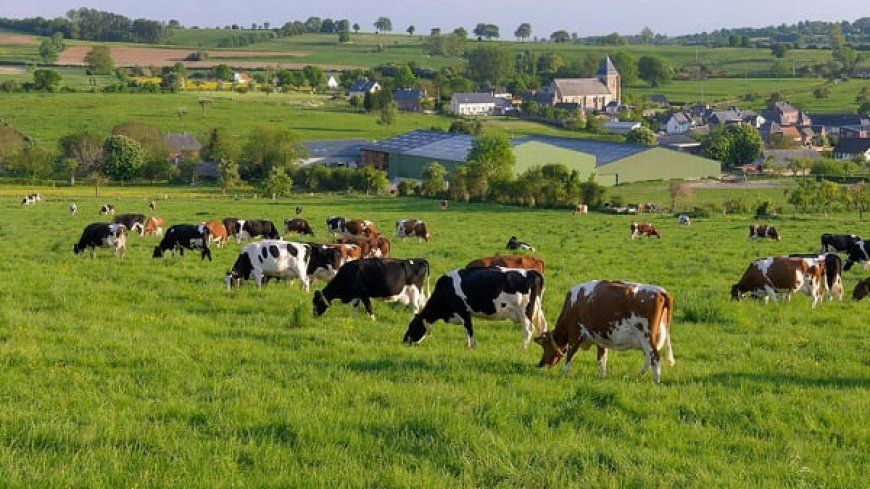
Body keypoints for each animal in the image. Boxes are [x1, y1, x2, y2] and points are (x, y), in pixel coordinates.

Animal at [402, 266, 544, 346]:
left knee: (528, 331)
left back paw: (522, 349)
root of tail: (533, 272)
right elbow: (466, 331)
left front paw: (471, 347)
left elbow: (469, 330)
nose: (404, 341)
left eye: (411, 326)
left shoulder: (464, 312)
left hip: (525, 312)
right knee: (542, 327)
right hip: (537, 310)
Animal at [536, 280, 676, 384]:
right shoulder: (600, 338)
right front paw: (602, 377)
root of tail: (660, 291)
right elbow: (601, 358)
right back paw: (637, 375)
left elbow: (570, 354)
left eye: (544, 346)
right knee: (648, 358)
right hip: (654, 337)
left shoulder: (576, 332)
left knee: (655, 357)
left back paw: (656, 382)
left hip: (646, 336)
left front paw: (563, 374)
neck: (571, 305)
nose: (540, 364)